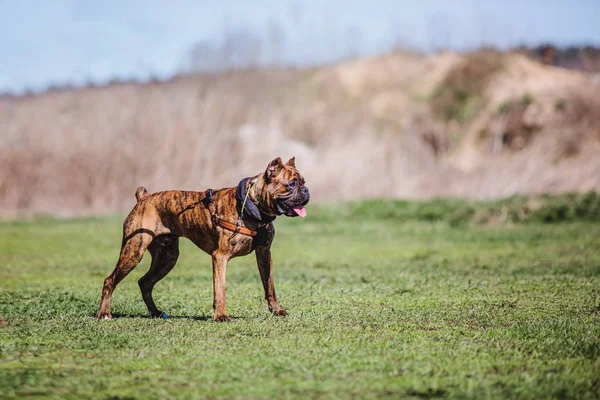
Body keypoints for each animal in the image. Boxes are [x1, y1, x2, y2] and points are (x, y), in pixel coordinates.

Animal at [98, 156, 310, 322]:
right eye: (292, 184)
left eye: (304, 182)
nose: (306, 191)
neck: (253, 206)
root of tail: (144, 198)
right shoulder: (220, 257)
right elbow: (221, 288)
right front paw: (221, 316)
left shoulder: (264, 253)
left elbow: (270, 285)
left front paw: (276, 310)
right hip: (134, 251)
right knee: (110, 280)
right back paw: (104, 314)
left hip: (167, 258)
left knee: (145, 282)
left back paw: (156, 313)